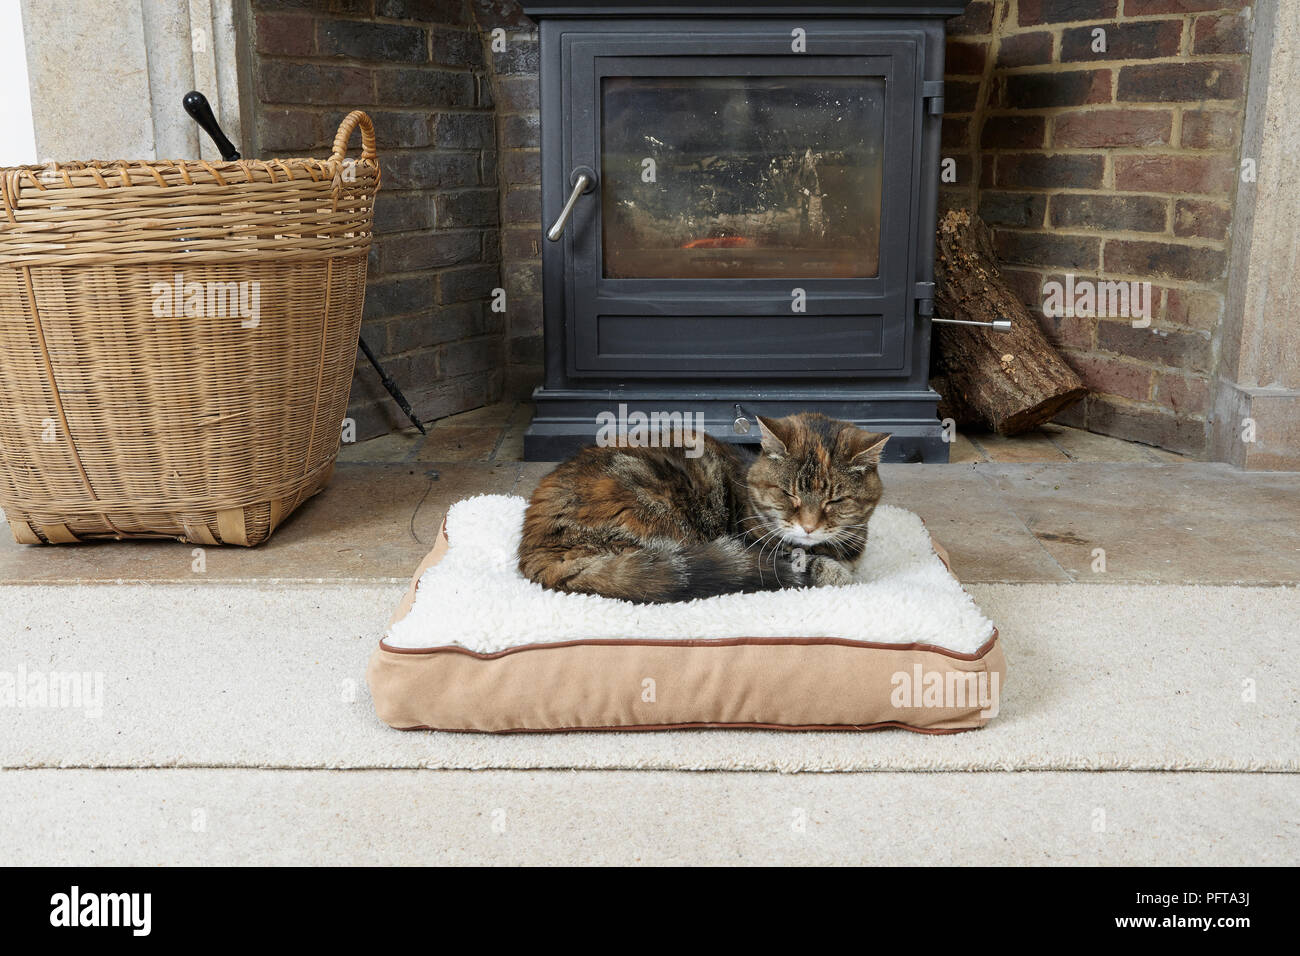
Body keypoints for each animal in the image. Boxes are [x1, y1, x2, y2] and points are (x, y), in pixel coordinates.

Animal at [517, 413, 894, 606]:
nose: (809, 526)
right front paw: (837, 572)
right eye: (789, 495)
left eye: (836, 501)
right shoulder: (766, 550)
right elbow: (812, 564)